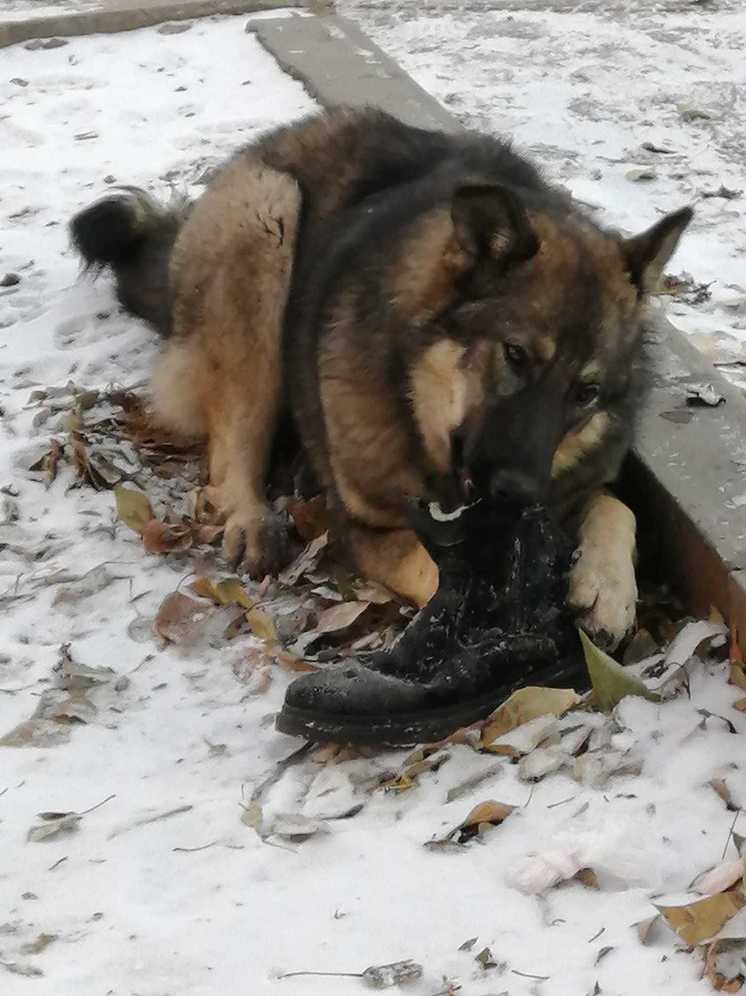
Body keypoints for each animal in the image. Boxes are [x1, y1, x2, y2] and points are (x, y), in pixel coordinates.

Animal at [71, 109, 692, 648]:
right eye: (514, 355)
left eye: (586, 392)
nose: (518, 493)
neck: (416, 403)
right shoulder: (367, 530)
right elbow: (441, 572)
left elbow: (617, 507)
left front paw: (608, 587)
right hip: (266, 222)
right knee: (231, 444)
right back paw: (250, 517)